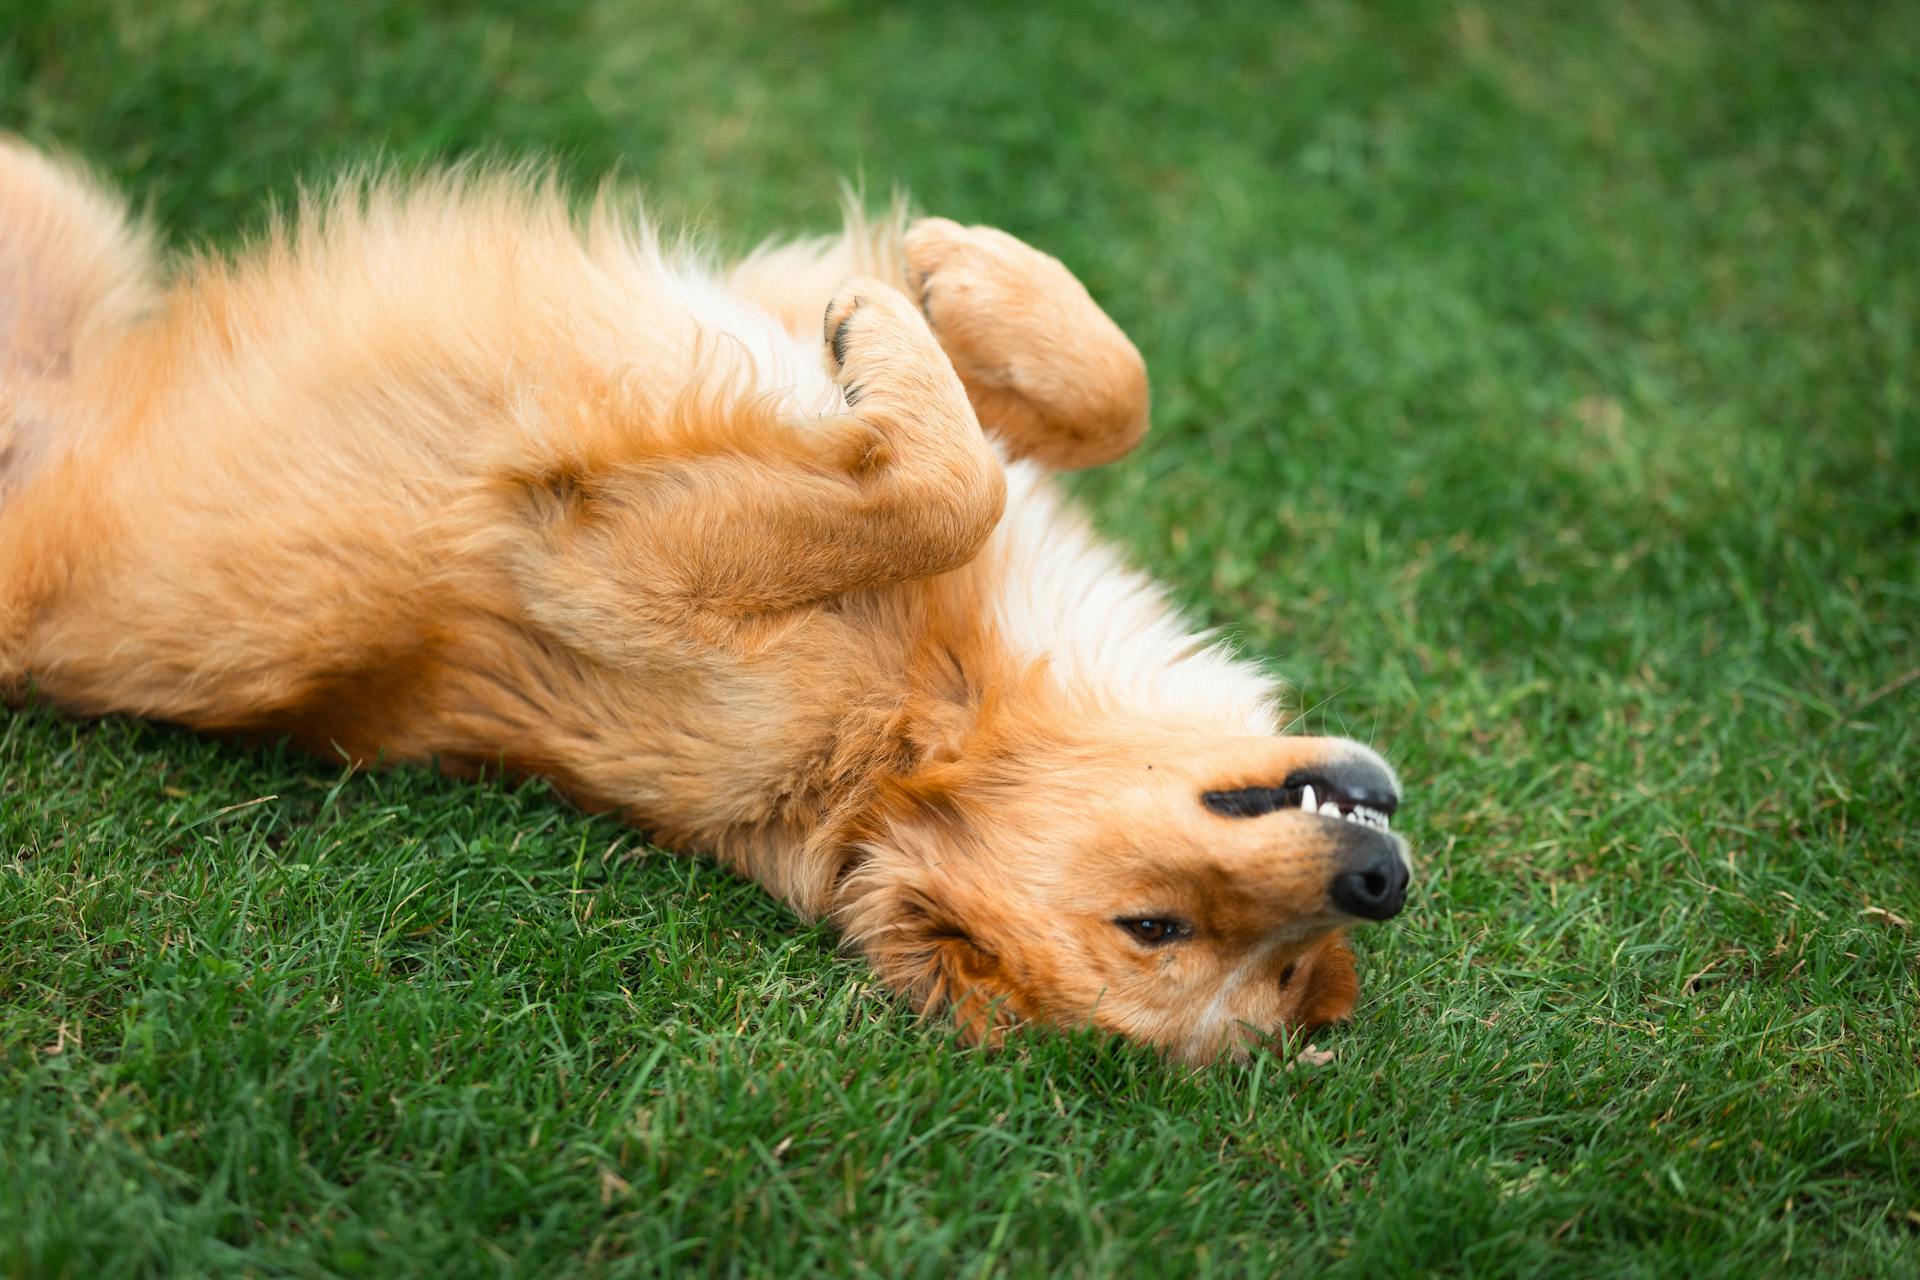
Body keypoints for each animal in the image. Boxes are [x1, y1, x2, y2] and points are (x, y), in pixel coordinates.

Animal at [0, 140, 1413, 1059]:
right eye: (1156, 925)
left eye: (1256, 958)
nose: (1379, 881)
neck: (928, 712)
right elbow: (1089, 405)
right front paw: (954, 277)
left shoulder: (591, 553)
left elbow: (954, 484)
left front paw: (916, 316)